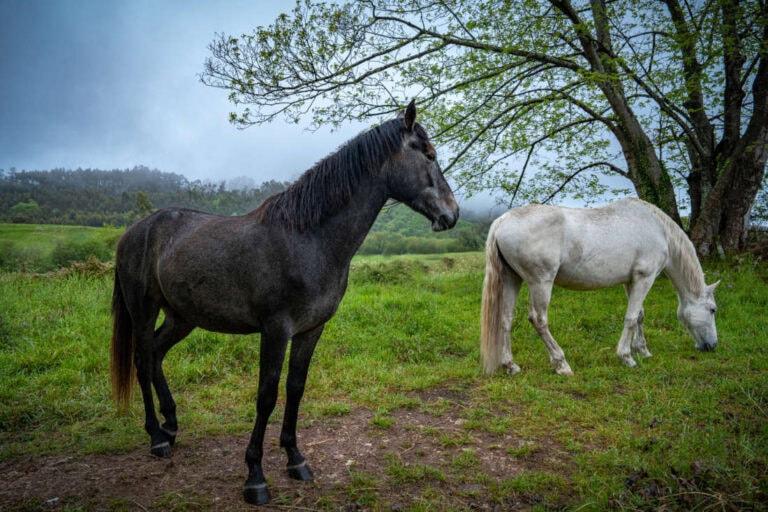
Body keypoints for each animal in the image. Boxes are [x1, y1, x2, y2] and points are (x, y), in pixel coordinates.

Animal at [110, 100, 459, 505]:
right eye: (429, 154)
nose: (452, 214)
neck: (308, 239)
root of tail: (135, 231)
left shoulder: (311, 330)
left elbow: (295, 388)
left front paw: (295, 458)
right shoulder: (275, 331)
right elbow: (266, 396)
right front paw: (255, 477)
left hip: (182, 317)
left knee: (155, 355)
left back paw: (170, 424)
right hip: (143, 309)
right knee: (141, 360)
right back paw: (156, 437)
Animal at [480, 198, 718, 376]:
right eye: (713, 310)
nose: (712, 346)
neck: (658, 230)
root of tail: (503, 220)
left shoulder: (631, 282)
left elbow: (639, 315)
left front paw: (642, 350)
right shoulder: (645, 278)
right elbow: (631, 318)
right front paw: (627, 357)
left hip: (512, 280)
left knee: (506, 319)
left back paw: (510, 365)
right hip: (540, 282)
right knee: (539, 320)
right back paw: (561, 364)